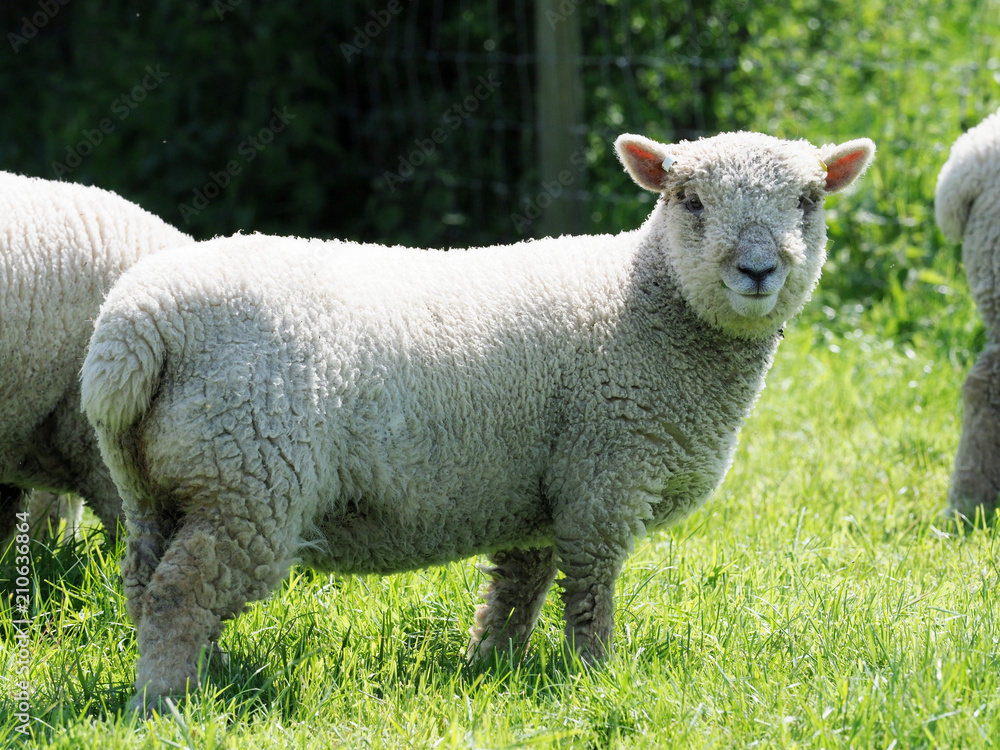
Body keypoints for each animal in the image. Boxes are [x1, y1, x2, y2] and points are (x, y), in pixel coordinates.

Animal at [80, 130, 874, 712]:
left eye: (809, 199)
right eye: (691, 200)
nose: (758, 270)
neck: (648, 305)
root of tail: (137, 327)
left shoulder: (542, 496)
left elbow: (517, 591)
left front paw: (491, 668)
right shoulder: (603, 479)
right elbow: (590, 593)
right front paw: (594, 676)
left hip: (158, 483)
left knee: (148, 586)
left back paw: (198, 678)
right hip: (250, 475)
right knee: (182, 593)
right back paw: (165, 704)